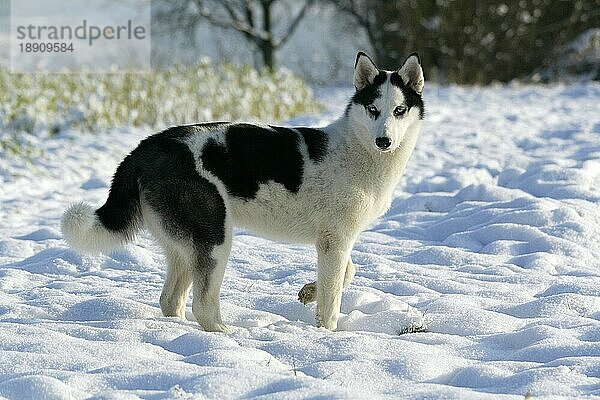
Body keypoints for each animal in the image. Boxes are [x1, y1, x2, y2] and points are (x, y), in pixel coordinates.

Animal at [61, 51, 424, 332]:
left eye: (399, 110)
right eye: (373, 110)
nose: (384, 141)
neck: (356, 149)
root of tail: (146, 146)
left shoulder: (334, 241)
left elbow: (349, 271)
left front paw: (309, 291)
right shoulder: (334, 242)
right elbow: (332, 299)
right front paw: (326, 331)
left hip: (184, 248)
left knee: (171, 300)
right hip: (215, 239)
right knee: (203, 306)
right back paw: (229, 336)